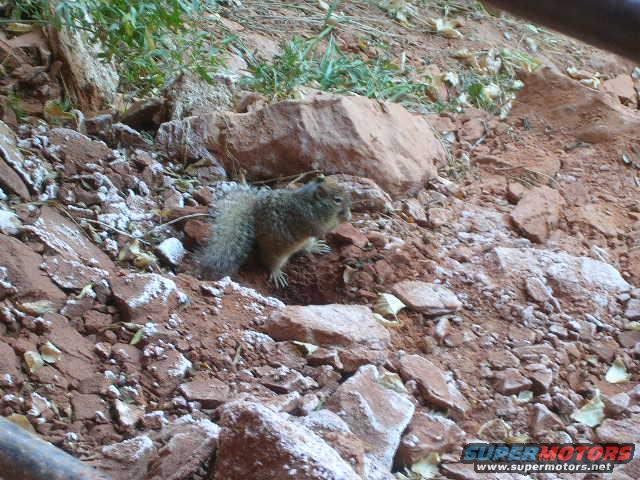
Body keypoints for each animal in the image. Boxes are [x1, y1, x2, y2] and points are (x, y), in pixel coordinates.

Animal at [197, 175, 352, 287]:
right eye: (337, 200)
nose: (348, 206)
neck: (311, 202)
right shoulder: (309, 220)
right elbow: (323, 228)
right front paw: (345, 216)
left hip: (305, 241)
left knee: (305, 248)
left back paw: (315, 247)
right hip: (277, 253)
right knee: (269, 262)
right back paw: (276, 273)